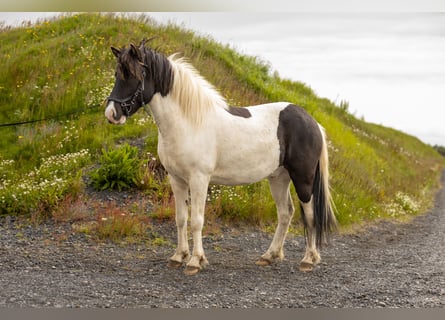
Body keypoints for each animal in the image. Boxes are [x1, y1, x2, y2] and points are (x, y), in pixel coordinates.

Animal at [104, 39, 334, 276]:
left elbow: (196, 220)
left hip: (303, 179)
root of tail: (312, 122)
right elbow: (181, 219)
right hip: (278, 177)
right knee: (285, 213)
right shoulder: (176, 179)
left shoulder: (199, 179)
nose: (112, 113)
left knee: (309, 215)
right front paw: (178, 257)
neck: (188, 122)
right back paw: (269, 256)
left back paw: (308, 259)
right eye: (117, 74)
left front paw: (195, 261)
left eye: (133, 75)